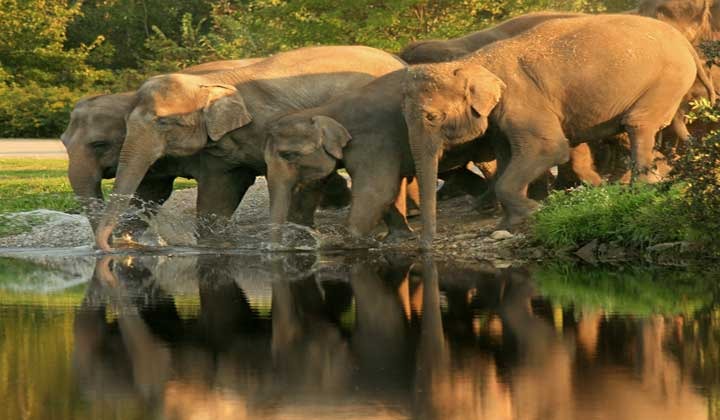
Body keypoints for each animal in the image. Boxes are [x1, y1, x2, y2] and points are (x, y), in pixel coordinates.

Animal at [93, 46, 404, 251]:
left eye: (162, 122)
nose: (112, 246)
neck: (215, 82)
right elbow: (223, 189)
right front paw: (214, 242)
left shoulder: (273, 123)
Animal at [402, 13, 712, 249]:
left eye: (432, 116)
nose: (424, 247)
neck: (473, 61)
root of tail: (686, 44)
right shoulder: (502, 118)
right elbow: (506, 156)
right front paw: (510, 221)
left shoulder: (522, 100)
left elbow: (548, 148)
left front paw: (534, 210)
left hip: (667, 80)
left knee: (638, 124)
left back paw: (640, 188)